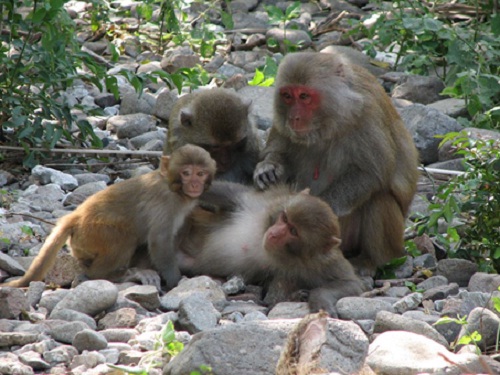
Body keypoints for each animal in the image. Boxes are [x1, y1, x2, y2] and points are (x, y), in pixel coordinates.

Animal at [1, 144, 217, 290]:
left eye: (200, 173)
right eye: (186, 173)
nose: (195, 185)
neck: (174, 188)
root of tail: (75, 217)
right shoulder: (165, 203)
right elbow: (159, 242)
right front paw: (175, 282)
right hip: (94, 233)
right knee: (124, 238)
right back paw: (117, 275)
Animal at [178, 182, 366, 318]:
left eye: (293, 231)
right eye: (285, 218)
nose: (274, 233)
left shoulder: (322, 262)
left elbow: (352, 283)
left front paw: (319, 299)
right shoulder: (259, 203)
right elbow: (224, 193)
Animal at [252, 51, 420, 276]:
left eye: (304, 96)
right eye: (287, 96)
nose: (294, 117)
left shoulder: (367, 113)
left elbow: (372, 173)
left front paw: (318, 206)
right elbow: (280, 148)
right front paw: (268, 167)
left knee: (379, 199)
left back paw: (372, 260)